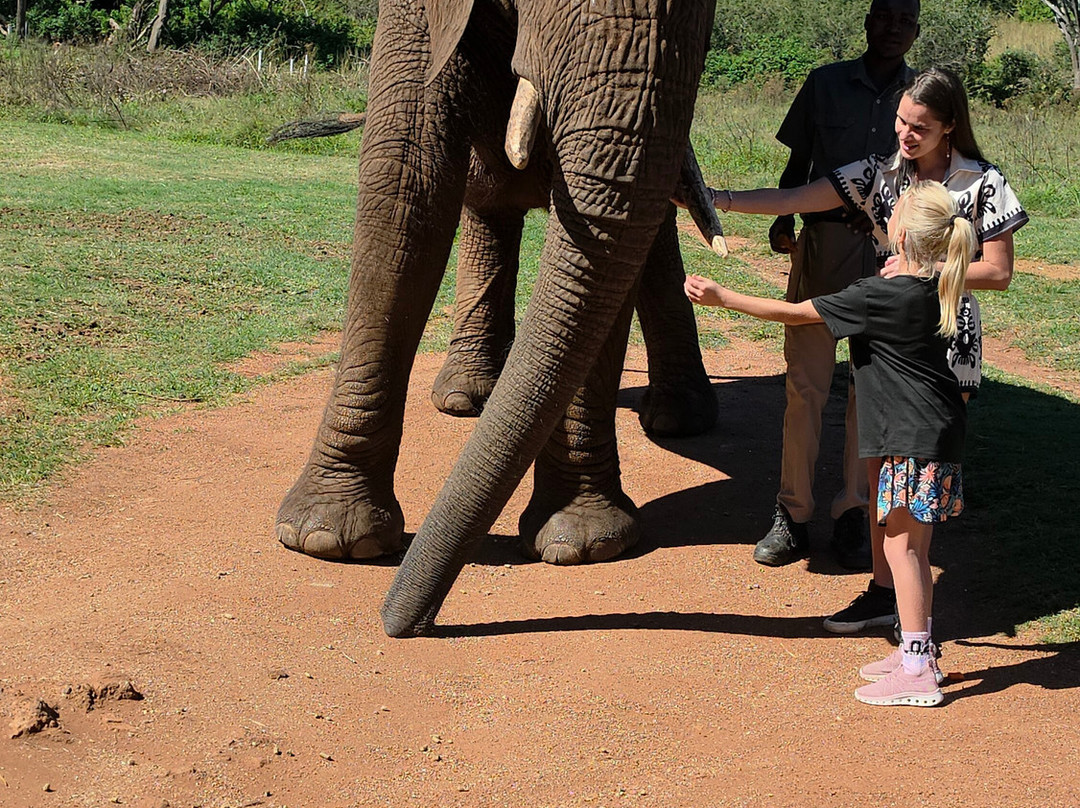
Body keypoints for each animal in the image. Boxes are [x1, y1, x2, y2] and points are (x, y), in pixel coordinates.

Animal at [274, 0, 722, 637]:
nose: (401, 626)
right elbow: (405, 190)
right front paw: (326, 541)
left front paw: (584, 545)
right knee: (487, 207)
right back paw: (466, 399)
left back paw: (678, 420)